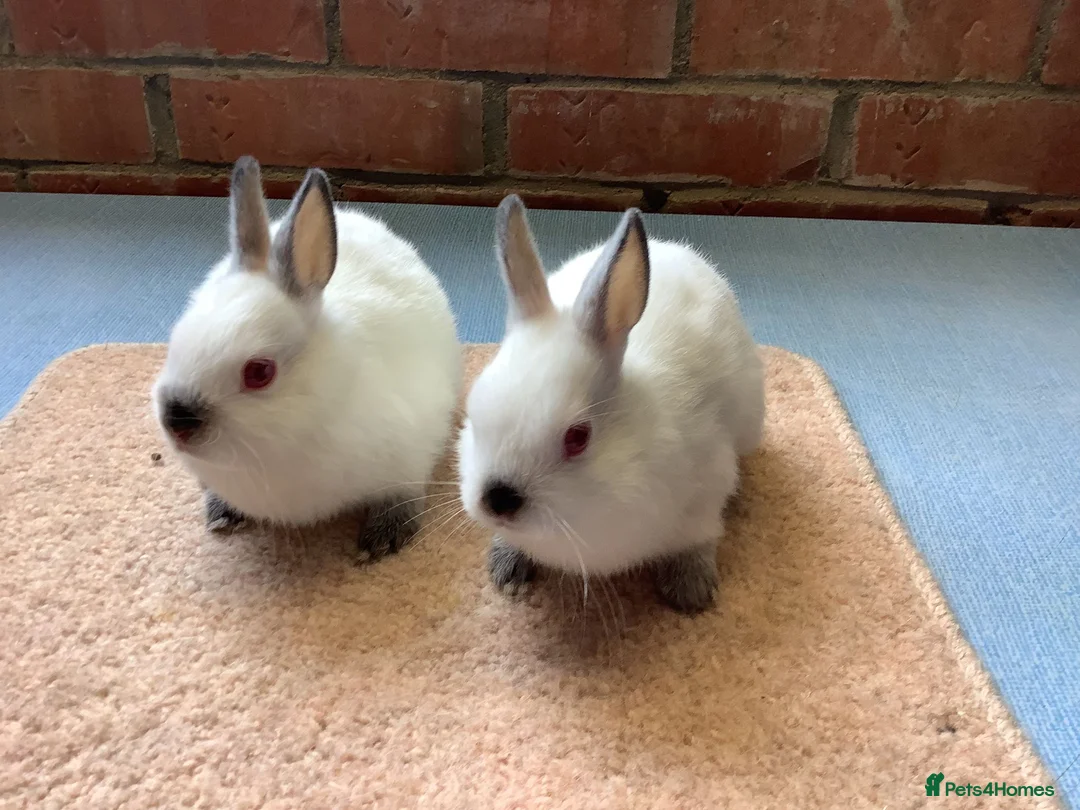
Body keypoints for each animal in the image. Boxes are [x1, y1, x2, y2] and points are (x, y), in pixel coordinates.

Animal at [152, 156, 461, 562]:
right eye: (177, 337)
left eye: (259, 372)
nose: (177, 422)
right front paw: (221, 512)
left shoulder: (410, 456)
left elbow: (402, 496)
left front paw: (383, 540)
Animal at [457, 196, 764, 612]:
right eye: (474, 417)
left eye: (578, 437)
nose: (497, 500)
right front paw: (506, 569)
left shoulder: (707, 490)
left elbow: (699, 540)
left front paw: (691, 592)